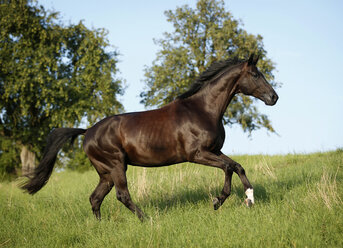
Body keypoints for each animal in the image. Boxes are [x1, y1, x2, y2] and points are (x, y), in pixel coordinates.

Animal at [21, 54, 278, 221]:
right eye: (255, 74)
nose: (274, 97)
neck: (203, 109)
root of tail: (88, 131)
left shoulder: (214, 151)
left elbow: (236, 167)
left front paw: (243, 199)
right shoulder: (197, 154)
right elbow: (230, 167)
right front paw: (225, 200)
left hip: (105, 173)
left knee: (95, 198)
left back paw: (100, 226)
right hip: (116, 166)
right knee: (122, 195)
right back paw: (146, 219)